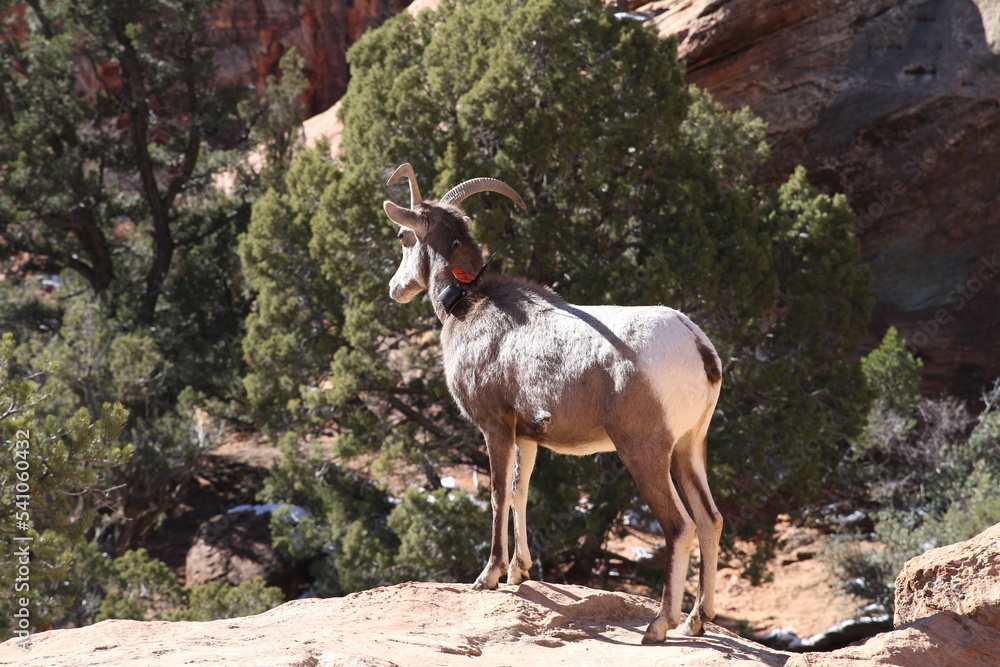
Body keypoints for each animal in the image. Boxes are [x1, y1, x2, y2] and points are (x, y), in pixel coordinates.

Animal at [382, 163, 724, 643]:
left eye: (402, 237)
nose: (395, 288)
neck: (469, 305)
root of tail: (697, 347)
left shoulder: (495, 428)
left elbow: (496, 494)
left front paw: (489, 576)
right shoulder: (527, 437)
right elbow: (519, 492)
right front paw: (518, 573)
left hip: (644, 451)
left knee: (680, 526)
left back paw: (658, 626)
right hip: (689, 447)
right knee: (710, 520)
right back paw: (697, 620)